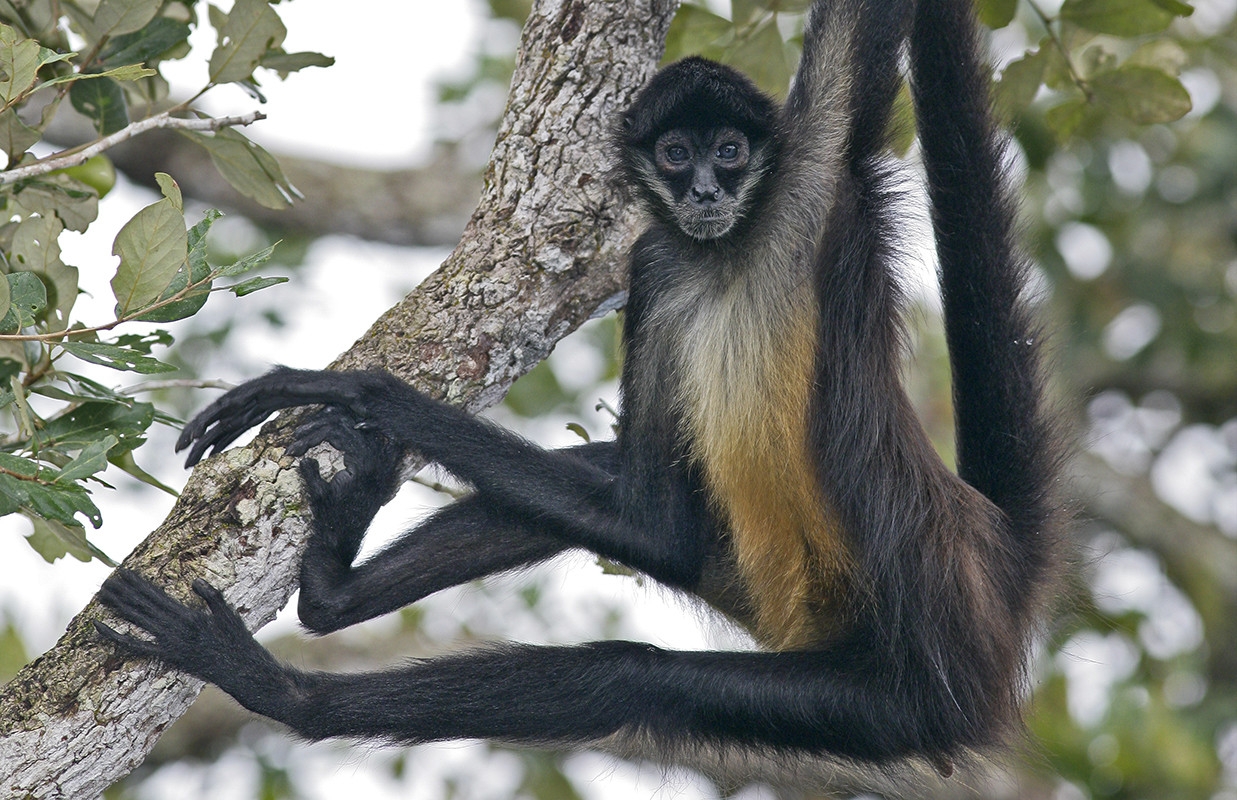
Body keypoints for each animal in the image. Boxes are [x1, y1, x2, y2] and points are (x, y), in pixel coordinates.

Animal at [98, 0, 1063, 771]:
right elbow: (648, 521)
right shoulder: (659, 262)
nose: (705, 189)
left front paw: (368, 394)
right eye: (674, 153)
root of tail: (989, 557)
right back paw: (334, 587)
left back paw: (284, 694)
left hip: (897, 700)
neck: (727, 251)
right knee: (607, 487)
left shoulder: (814, 174)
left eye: (727, 150)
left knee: (629, 677)